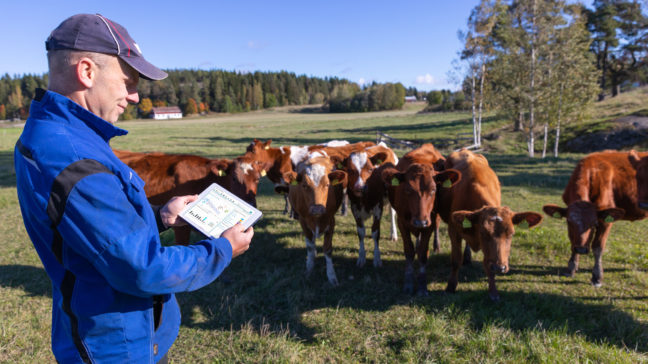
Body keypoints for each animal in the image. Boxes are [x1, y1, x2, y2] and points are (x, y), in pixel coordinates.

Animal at [284, 152, 350, 286]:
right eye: (304, 185)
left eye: (327, 185)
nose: (317, 209)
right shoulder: (303, 221)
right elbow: (310, 246)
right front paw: (309, 269)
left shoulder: (331, 221)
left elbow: (327, 249)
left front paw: (331, 276)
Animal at [382, 144, 464, 294]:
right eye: (407, 190)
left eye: (433, 190)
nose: (420, 222)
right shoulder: (402, 222)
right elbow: (409, 251)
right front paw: (408, 284)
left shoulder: (429, 223)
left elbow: (423, 254)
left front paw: (421, 286)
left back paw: (436, 246)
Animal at [436, 149, 540, 302]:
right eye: (483, 233)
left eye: (511, 234)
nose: (499, 268)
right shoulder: (453, 229)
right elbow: (455, 260)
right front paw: (451, 286)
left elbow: (487, 263)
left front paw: (493, 291)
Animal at [540, 151, 648, 288]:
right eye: (569, 222)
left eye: (594, 224)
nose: (581, 249)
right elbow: (572, 240)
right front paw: (571, 268)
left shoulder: (605, 219)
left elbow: (598, 247)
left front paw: (597, 276)